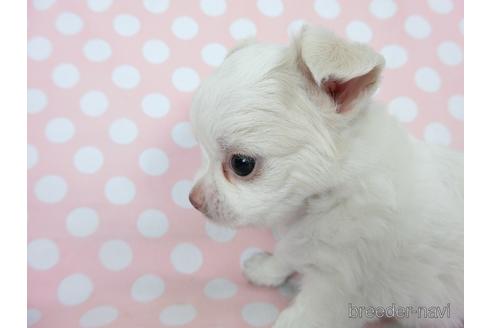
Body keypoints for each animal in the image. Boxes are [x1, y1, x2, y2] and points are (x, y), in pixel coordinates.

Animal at [187, 26, 462, 328]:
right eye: (201, 151)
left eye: (241, 164)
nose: (193, 200)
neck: (327, 198)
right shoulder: (300, 239)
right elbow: (286, 254)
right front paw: (265, 269)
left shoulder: (334, 287)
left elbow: (301, 315)